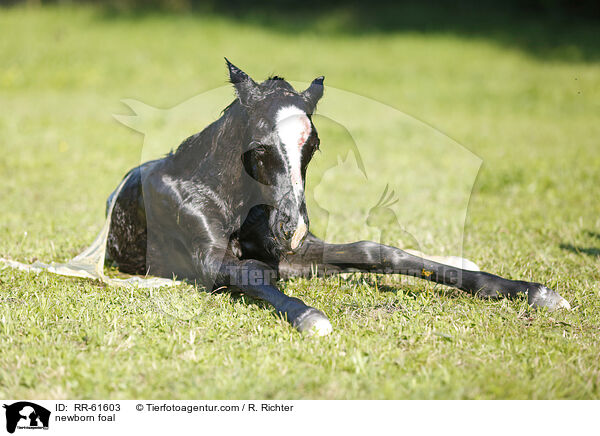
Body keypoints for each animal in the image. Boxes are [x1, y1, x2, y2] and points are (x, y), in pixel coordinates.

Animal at [105, 59, 568, 336]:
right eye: (260, 147)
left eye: (312, 146)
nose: (290, 228)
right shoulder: (209, 259)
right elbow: (252, 271)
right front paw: (309, 316)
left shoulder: (294, 254)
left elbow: (376, 251)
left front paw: (529, 290)